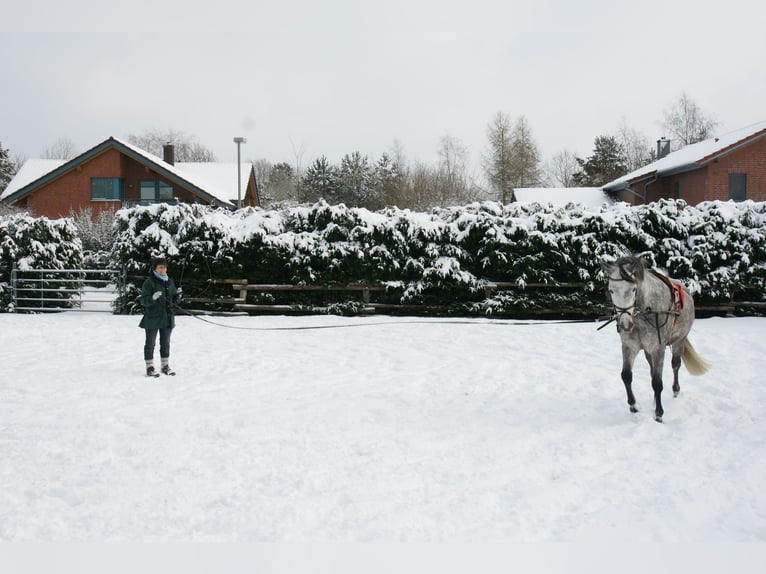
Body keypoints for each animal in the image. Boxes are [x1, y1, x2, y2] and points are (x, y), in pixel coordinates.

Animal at [600, 256, 712, 424]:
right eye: (611, 290)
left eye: (633, 289)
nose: (625, 324)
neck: (645, 312)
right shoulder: (629, 347)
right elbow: (626, 376)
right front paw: (633, 406)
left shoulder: (658, 348)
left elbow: (658, 383)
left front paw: (659, 414)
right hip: (648, 351)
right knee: (652, 371)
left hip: (679, 342)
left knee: (675, 366)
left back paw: (675, 390)